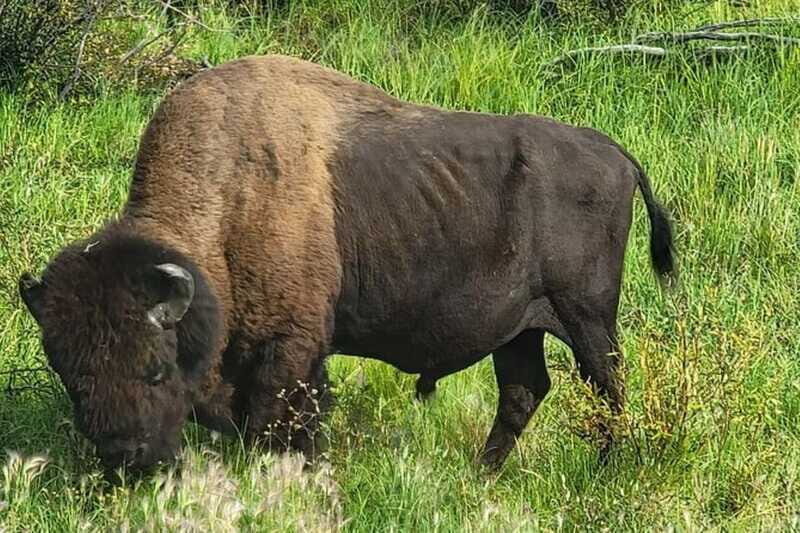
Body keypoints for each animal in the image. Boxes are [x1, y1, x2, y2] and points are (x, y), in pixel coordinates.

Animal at [19, 54, 674, 473]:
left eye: (155, 368)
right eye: (70, 374)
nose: (123, 458)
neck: (227, 202)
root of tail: (615, 153)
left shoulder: (291, 349)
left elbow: (282, 422)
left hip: (586, 317)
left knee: (607, 387)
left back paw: (604, 469)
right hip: (519, 328)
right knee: (523, 392)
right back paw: (481, 475)